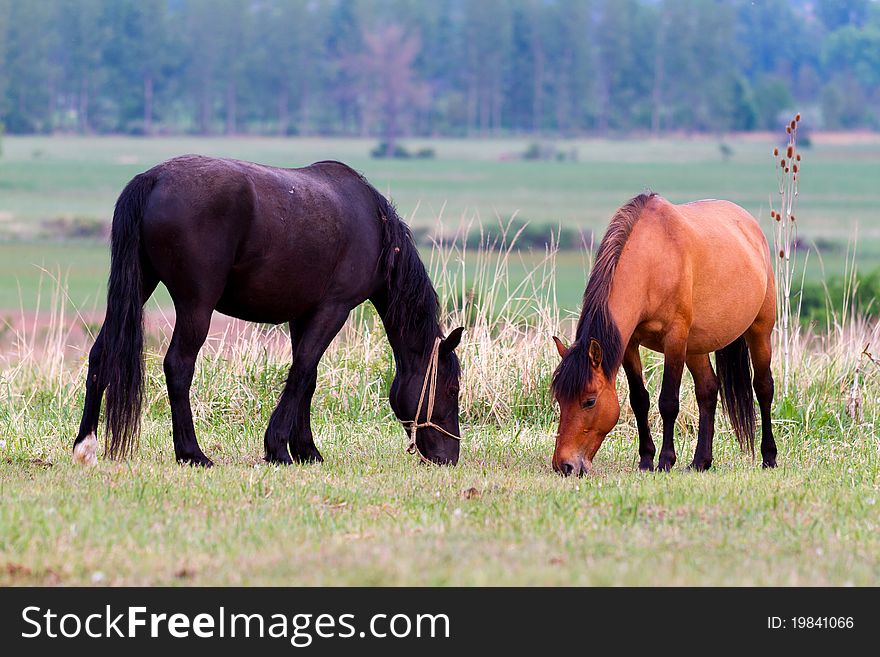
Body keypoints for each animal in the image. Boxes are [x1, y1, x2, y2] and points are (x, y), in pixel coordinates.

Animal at [72, 156, 464, 466]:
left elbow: (308, 377)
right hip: (196, 307)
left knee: (102, 354)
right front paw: (278, 448)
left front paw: (306, 450)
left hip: (139, 287)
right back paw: (192, 453)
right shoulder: (333, 309)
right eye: (451, 389)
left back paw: (84, 445)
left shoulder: (303, 314)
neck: (375, 226)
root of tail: (153, 179)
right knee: (178, 366)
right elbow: (302, 371)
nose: (449, 457)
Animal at [552, 192, 776, 474]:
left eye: (589, 401)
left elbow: (668, 401)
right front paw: (646, 459)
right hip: (696, 346)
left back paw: (769, 457)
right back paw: (701, 461)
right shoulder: (629, 344)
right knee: (708, 390)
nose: (564, 465)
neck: (652, 261)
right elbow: (639, 399)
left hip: (759, 330)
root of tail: (750, 226)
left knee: (764, 387)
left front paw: (665, 460)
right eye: (560, 399)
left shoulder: (675, 339)